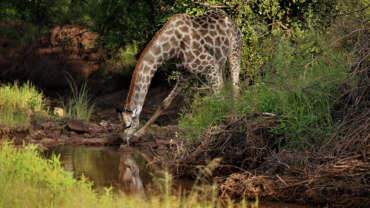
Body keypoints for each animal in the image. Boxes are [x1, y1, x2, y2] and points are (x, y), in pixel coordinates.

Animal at [119, 9, 243, 145]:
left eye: (128, 125)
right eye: (120, 125)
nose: (123, 139)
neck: (172, 46)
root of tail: (230, 18)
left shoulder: (210, 65)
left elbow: (218, 97)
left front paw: (222, 125)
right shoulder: (185, 73)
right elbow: (164, 103)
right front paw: (139, 134)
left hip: (234, 51)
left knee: (235, 86)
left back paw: (235, 118)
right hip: (220, 62)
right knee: (225, 86)